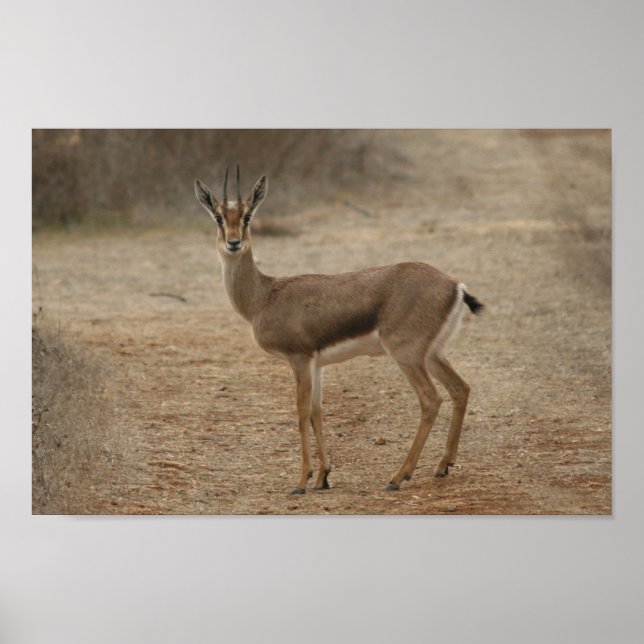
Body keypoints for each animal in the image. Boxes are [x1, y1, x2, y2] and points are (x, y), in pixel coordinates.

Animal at [194, 167, 483, 495]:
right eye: (218, 217)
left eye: (247, 216)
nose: (233, 243)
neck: (264, 297)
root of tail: (454, 285)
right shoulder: (317, 364)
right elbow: (317, 412)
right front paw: (323, 476)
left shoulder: (299, 359)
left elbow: (301, 412)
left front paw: (301, 481)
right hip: (433, 354)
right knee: (460, 388)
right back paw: (443, 465)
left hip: (406, 354)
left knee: (431, 399)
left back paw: (398, 477)